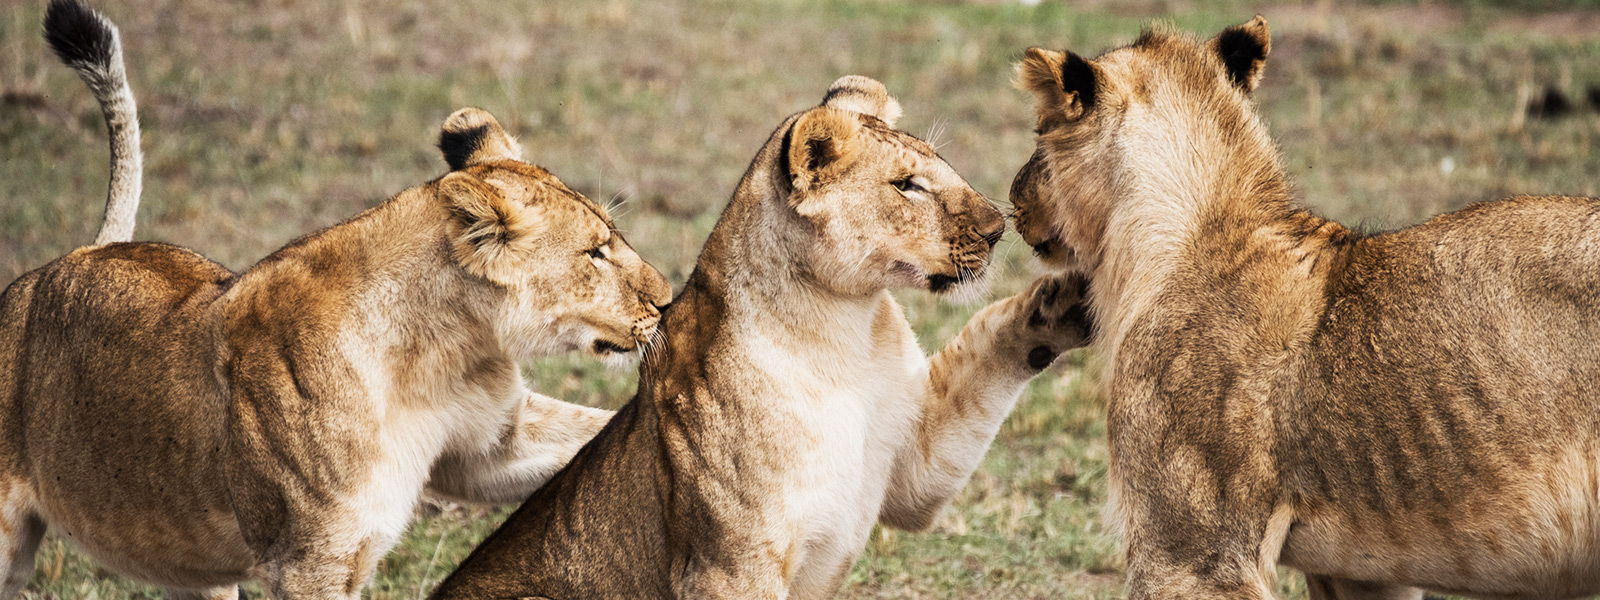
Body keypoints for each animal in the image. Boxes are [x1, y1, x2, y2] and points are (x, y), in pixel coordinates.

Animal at [0, 2, 668, 598]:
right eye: (595, 252)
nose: (665, 300)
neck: (439, 353)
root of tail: (72, 258)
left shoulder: (488, 445)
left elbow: (587, 432)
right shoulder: (310, 561)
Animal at [425, 76, 1100, 600]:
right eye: (907, 184)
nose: (997, 228)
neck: (845, 332)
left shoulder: (915, 470)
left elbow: (988, 351)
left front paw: (1069, 299)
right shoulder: (730, 565)